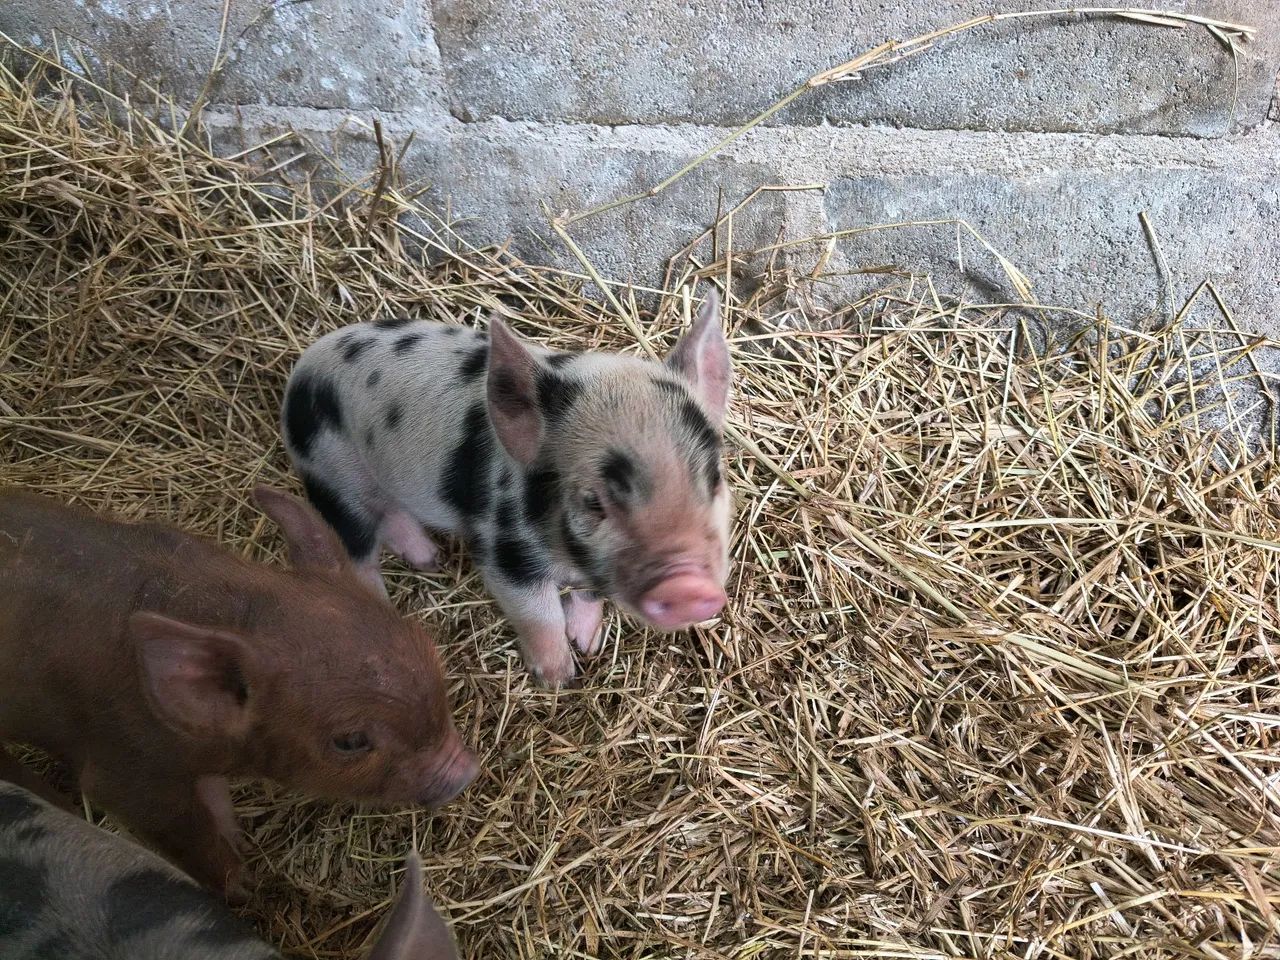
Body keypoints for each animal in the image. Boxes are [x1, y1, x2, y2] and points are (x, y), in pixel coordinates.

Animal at [0, 486, 478, 899]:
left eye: (426, 646)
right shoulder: (122, 767)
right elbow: (183, 834)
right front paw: (245, 887)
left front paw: (240, 839)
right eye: (349, 741)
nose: (466, 770)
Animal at [281, 291, 733, 687]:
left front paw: (588, 644)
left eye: (713, 479)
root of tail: (303, 368)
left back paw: (430, 560)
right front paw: (558, 679)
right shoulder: (504, 550)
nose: (689, 585)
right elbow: (539, 614)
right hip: (329, 474)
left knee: (392, 513)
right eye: (593, 499)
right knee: (356, 548)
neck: (566, 558)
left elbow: (588, 596)